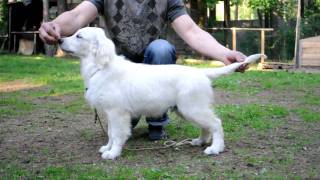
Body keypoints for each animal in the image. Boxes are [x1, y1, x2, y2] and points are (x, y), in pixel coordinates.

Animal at [58, 26, 264, 159]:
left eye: (78, 36)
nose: (59, 40)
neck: (100, 67)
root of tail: (201, 72)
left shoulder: (117, 112)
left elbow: (116, 134)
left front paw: (113, 153)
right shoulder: (110, 112)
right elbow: (109, 133)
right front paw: (106, 148)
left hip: (192, 107)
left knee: (216, 124)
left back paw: (215, 148)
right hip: (187, 109)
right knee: (207, 126)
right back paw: (200, 141)